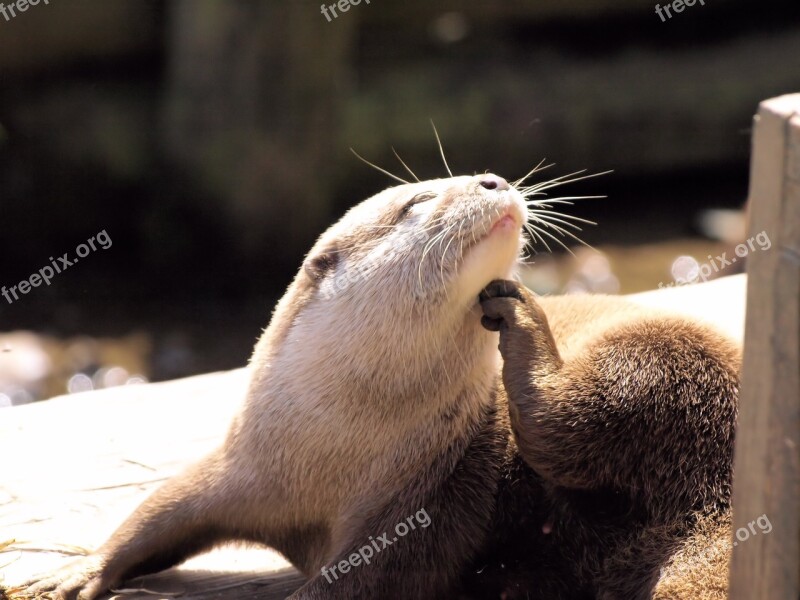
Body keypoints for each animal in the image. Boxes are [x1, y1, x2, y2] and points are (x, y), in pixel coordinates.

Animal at [10, 171, 736, 596]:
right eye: (418, 201)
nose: (495, 179)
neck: (335, 452)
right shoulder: (247, 465)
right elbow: (165, 507)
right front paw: (78, 572)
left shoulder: (430, 497)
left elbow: (371, 579)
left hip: (663, 363)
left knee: (571, 421)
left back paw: (526, 322)